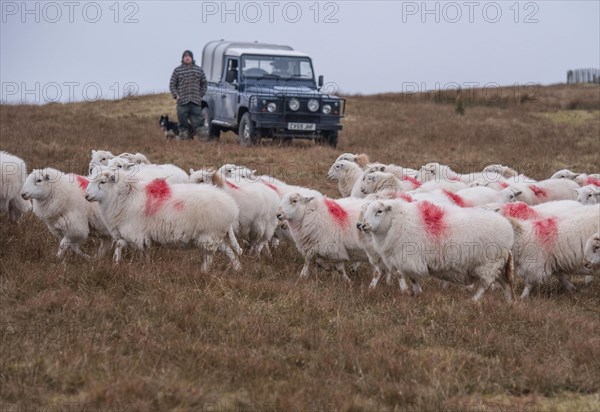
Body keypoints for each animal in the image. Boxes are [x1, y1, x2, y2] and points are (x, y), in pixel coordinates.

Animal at [85, 168, 244, 268]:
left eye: (102, 182)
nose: (86, 196)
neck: (125, 196)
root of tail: (232, 206)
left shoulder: (135, 233)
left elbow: (123, 245)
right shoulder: (134, 234)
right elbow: (127, 247)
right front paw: (122, 263)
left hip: (209, 235)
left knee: (209, 257)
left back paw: (203, 272)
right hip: (216, 235)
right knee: (229, 251)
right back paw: (238, 268)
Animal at [356, 200, 516, 302]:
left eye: (379, 211)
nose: (363, 225)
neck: (395, 222)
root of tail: (509, 231)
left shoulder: (409, 258)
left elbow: (402, 275)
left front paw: (406, 292)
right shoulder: (405, 260)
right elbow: (410, 277)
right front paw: (417, 293)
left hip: (489, 264)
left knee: (486, 284)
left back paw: (474, 300)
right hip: (498, 266)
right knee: (506, 284)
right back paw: (509, 303)